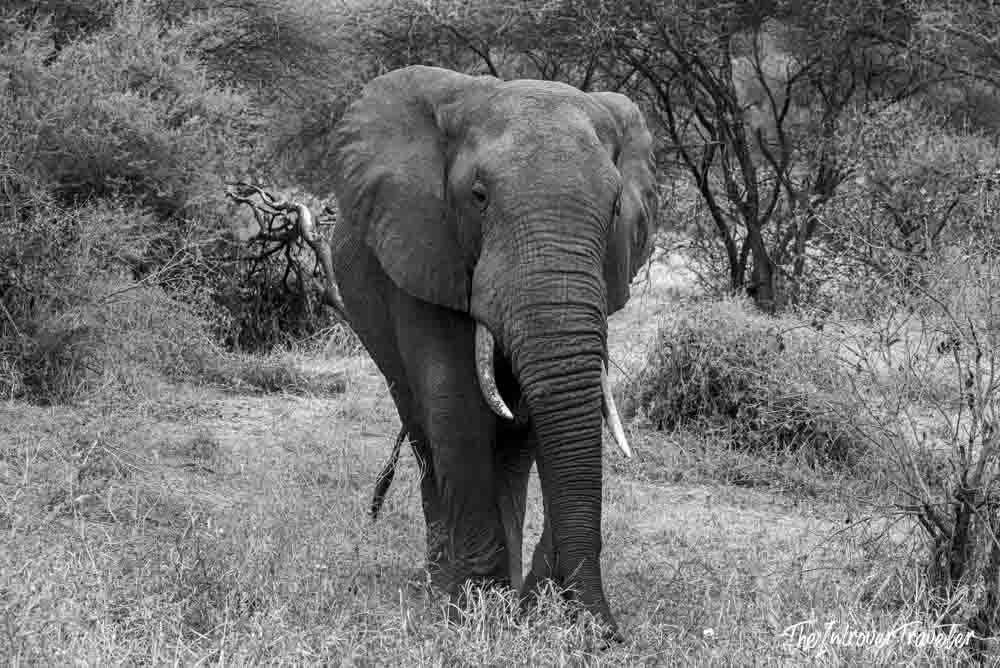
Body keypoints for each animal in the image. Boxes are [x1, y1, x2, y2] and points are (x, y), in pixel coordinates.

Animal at [325, 65, 658, 634]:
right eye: (478, 196)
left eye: (615, 207)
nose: (607, 636)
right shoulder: (427, 249)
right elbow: (456, 403)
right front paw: (474, 614)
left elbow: (542, 413)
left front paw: (523, 611)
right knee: (424, 430)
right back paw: (443, 589)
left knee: (511, 445)